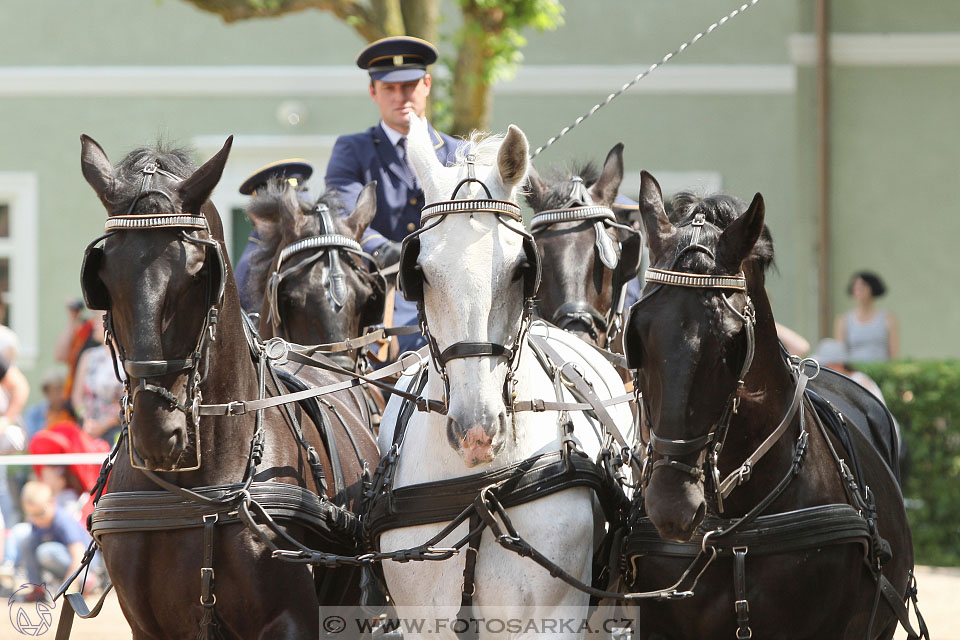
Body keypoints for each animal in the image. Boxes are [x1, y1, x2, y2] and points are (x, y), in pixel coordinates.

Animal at [79, 136, 378, 640]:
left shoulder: (291, 619)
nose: (157, 433)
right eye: (102, 279)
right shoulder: (147, 626)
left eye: (200, 273)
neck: (195, 493)